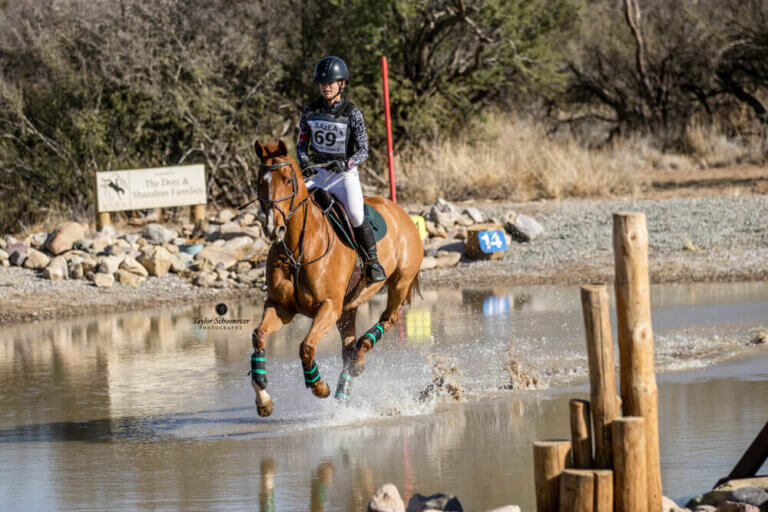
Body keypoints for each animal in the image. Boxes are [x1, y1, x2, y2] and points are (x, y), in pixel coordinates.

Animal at [249, 139, 423, 417]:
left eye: (287, 180)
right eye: (260, 181)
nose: (273, 228)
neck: (299, 249)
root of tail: (402, 212)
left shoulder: (328, 307)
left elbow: (306, 346)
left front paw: (319, 386)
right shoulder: (281, 306)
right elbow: (259, 336)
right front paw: (263, 399)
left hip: (399, 283)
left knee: (389, 318)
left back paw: (360, 354)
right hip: (348, 308)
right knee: (348, 348)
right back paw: (346, 385)